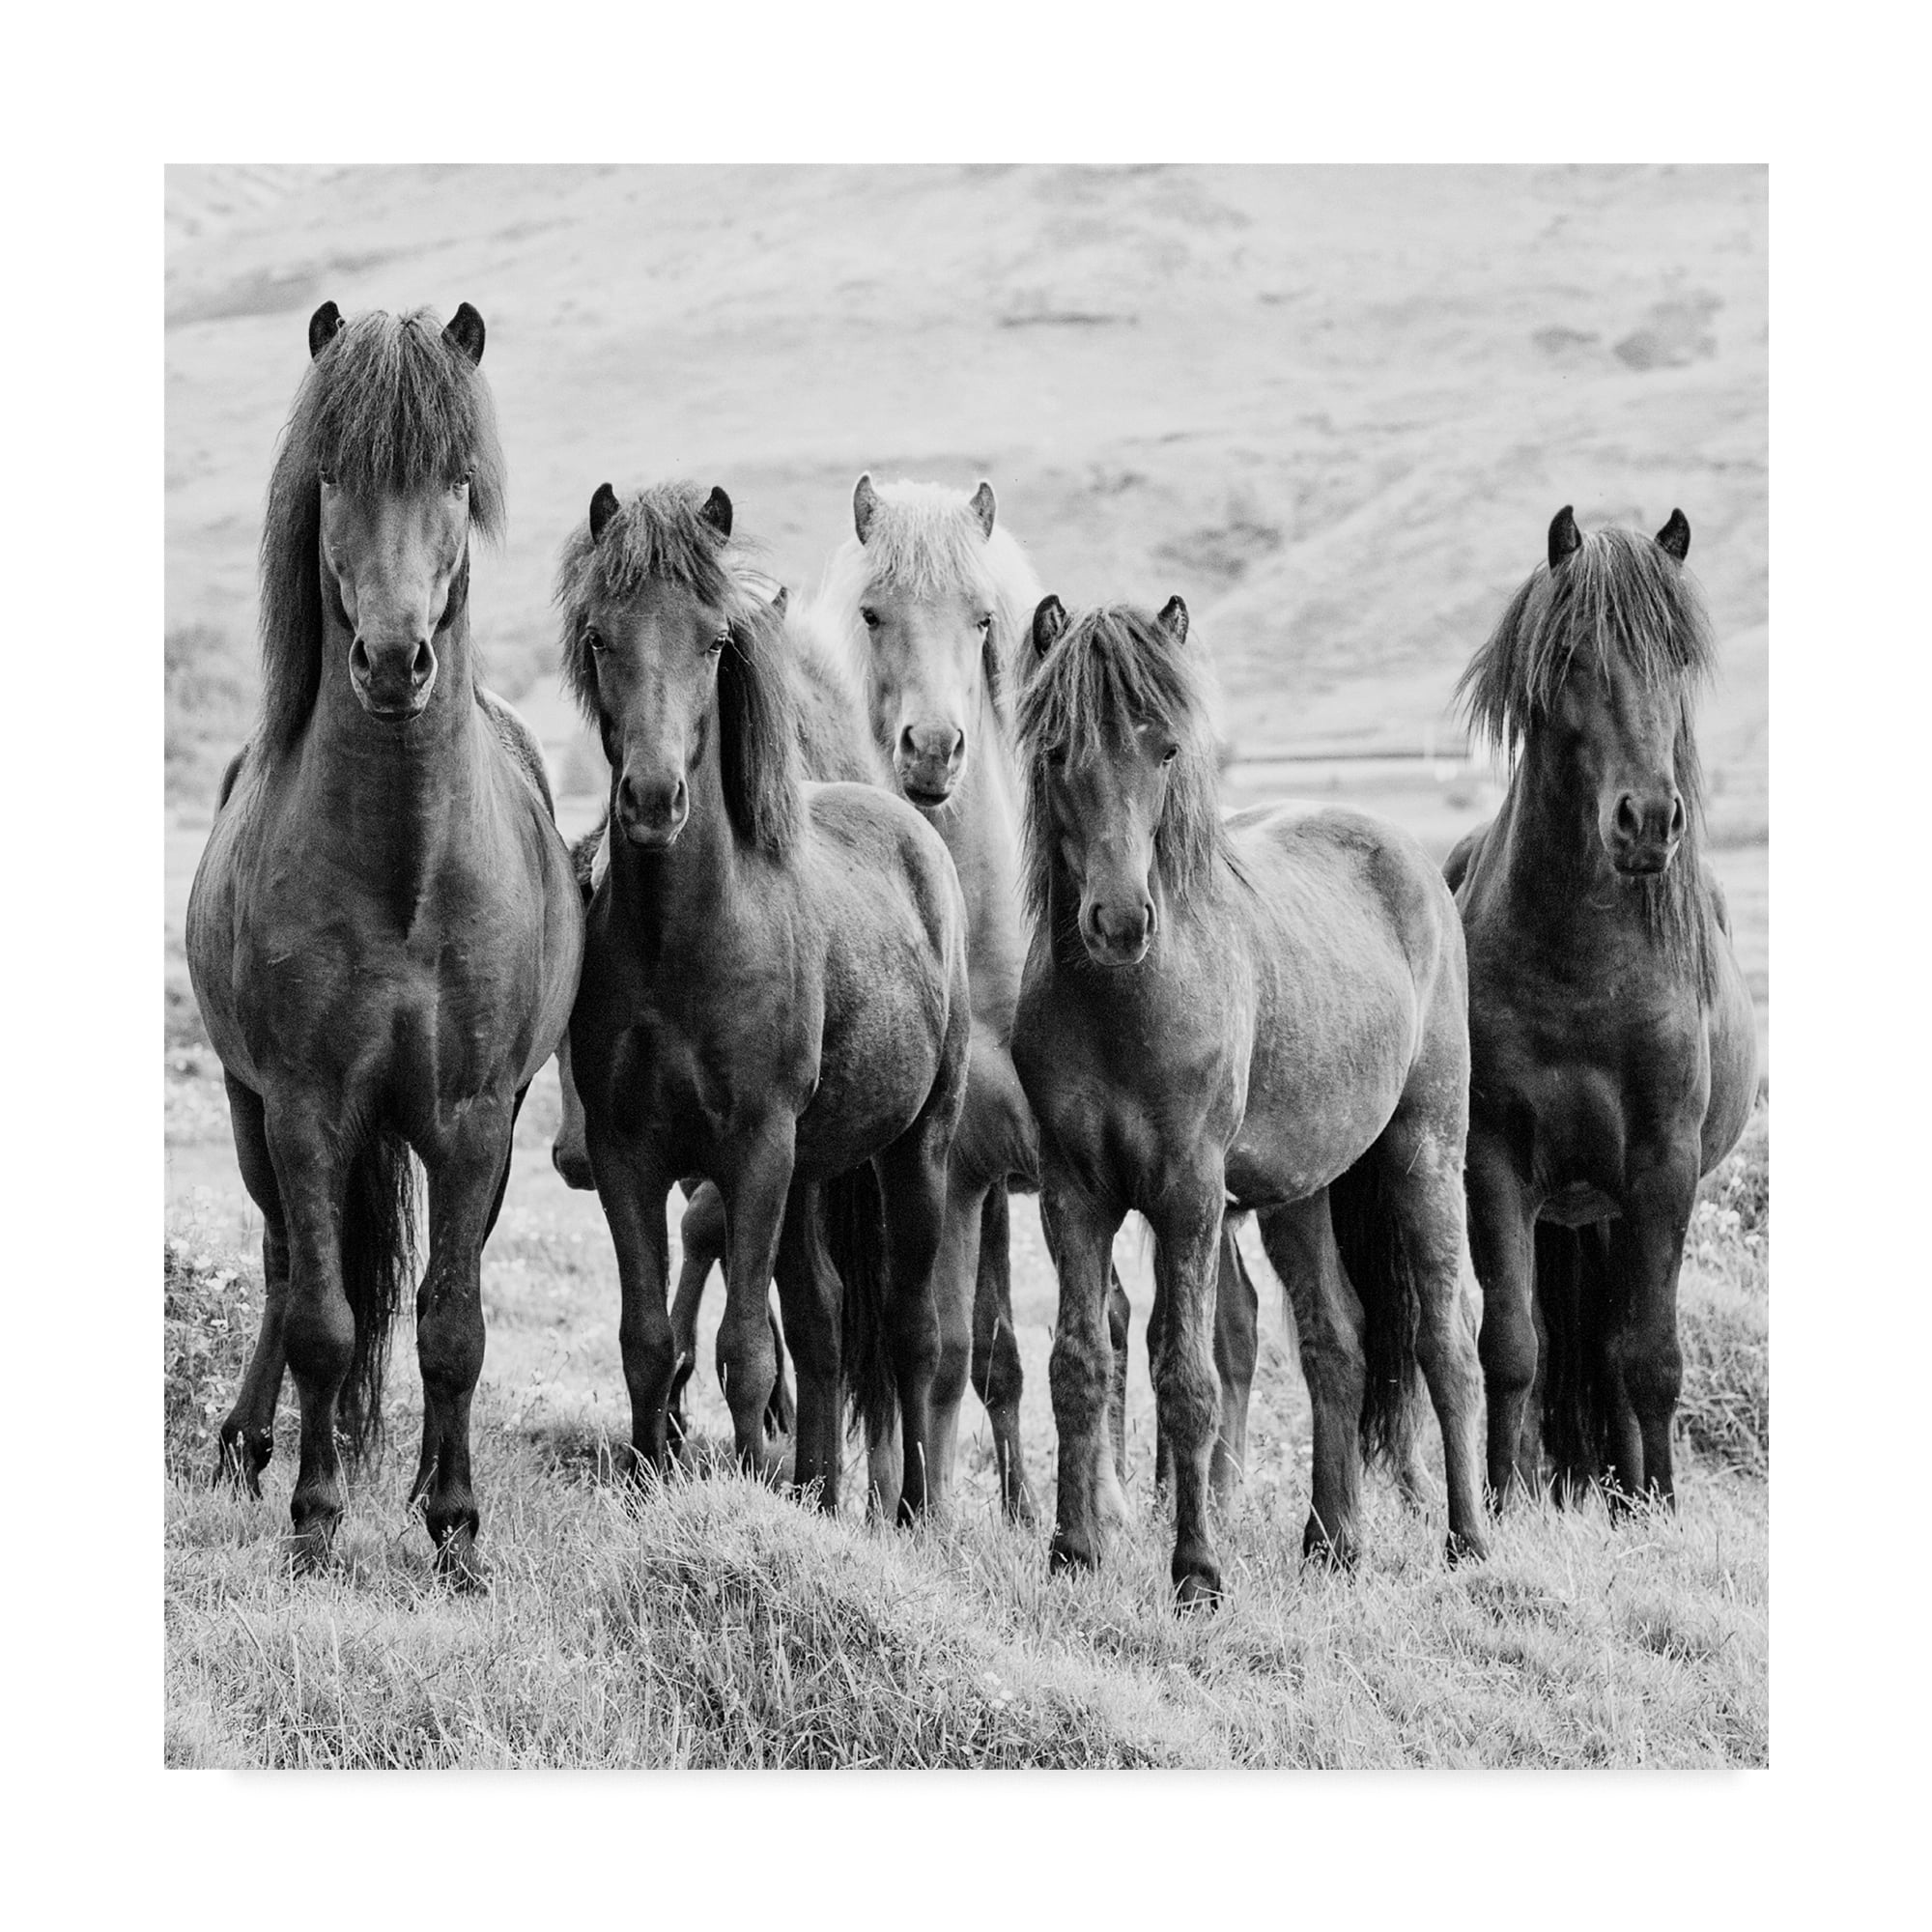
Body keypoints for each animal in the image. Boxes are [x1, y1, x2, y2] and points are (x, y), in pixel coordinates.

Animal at [186, 302, 584, 1587]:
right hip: (248, 1112)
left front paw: (453, 1523)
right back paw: (247, 1445)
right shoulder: (308, 1106)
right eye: (334, 474)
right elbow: (324, 1318)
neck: (404, 872)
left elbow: (451, 1326)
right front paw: (315, 1518)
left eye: (455, 476)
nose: (397, 658)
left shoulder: (472, 1121)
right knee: (280, 1266)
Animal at [559, 481, 971, 1518]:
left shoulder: (754, 1152)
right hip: (815, 1171)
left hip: (915, 1152)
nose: (653, 799)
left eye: (714, 640)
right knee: (823, 1321)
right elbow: (649, 1342)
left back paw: (913, 1513)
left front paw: (745, 1488)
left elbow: (745, 1347)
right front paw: (652, 1481)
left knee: (910, 1329)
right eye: (600, 637)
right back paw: (820, 1491)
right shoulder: (628, 1159)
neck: (685, 942)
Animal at [1011, 595, 1489, 1607]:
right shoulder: (1073, 1197)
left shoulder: (1189, 1198)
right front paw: (1074, 1553)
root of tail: (1411, 862)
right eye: (1057, 750)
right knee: (1337, 1345)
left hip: (1426, 1152)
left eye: (1164, 750)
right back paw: (1333, 1541)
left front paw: (1197, 1572)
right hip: (1299, 1196)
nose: (1120, 922)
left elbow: (1185, 1378)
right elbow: (1079, 1365)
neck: (1125, 1004)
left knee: (1446, 1339)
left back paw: (1468, 1540)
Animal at [1445, 507, 1758, 1508]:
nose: (1649, 821)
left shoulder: (1664, 1167)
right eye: (1574, 655)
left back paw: (1629, 1496)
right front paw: (1502, 1503)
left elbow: (1649, 1356)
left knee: (1624, 1350)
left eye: (1678, 658)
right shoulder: (1495, 1164)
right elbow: (1512, 1349)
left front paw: (1659, 1509)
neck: (1584, 975)